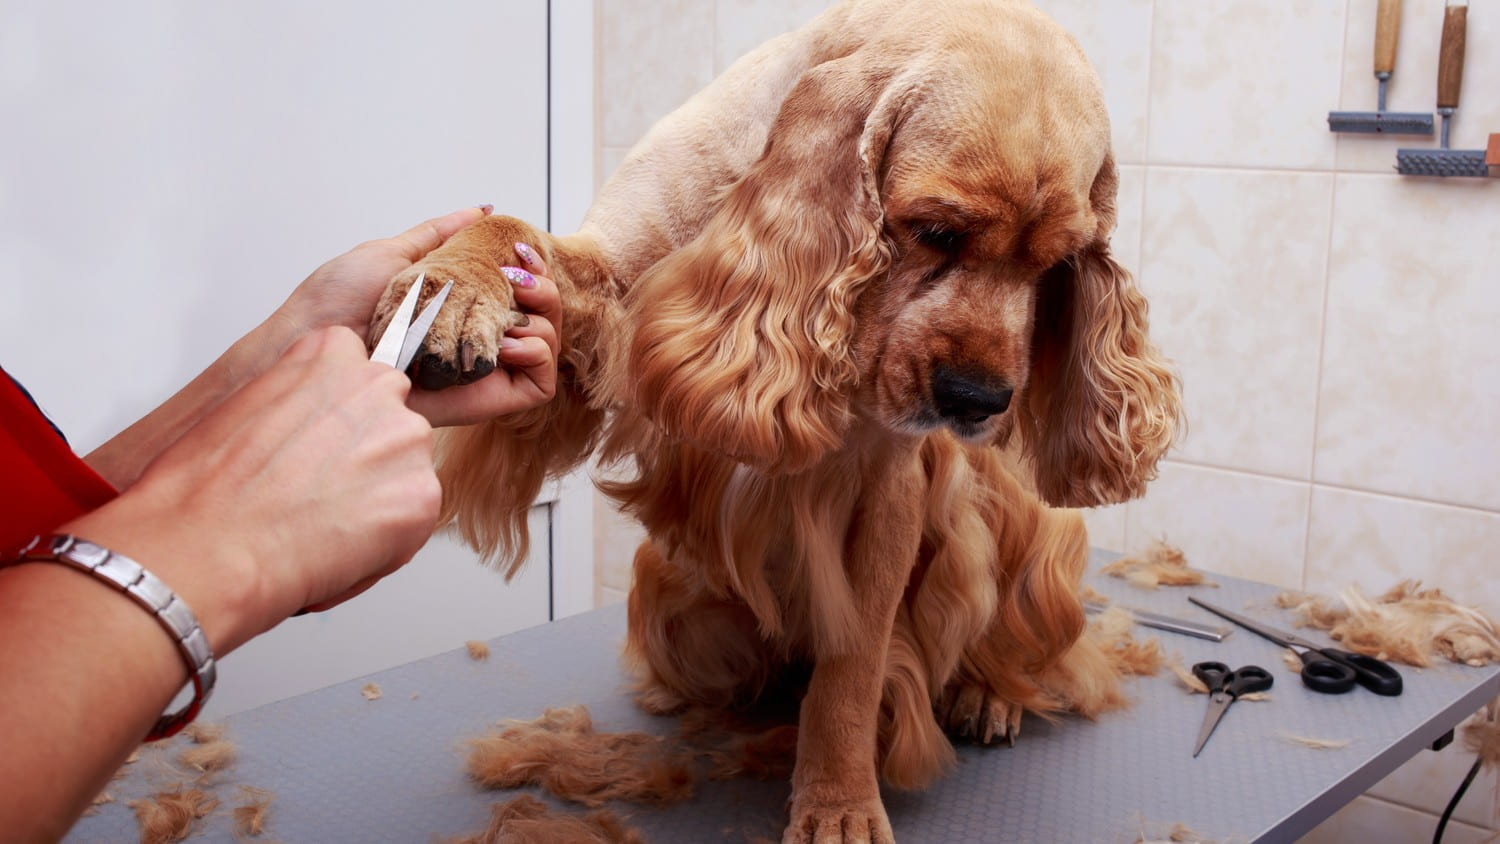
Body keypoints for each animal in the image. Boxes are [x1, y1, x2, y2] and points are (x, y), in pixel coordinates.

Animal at [369, 3, 1176, 839]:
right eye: (937, 231)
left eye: (1058, 265)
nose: (978, 400)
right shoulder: (613, 276)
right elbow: (515, 231)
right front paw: (452, 285)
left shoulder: (886, 484)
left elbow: (852, 669)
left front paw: (840, 802)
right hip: (668, 583)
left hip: (1039, 531)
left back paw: (988, 694)